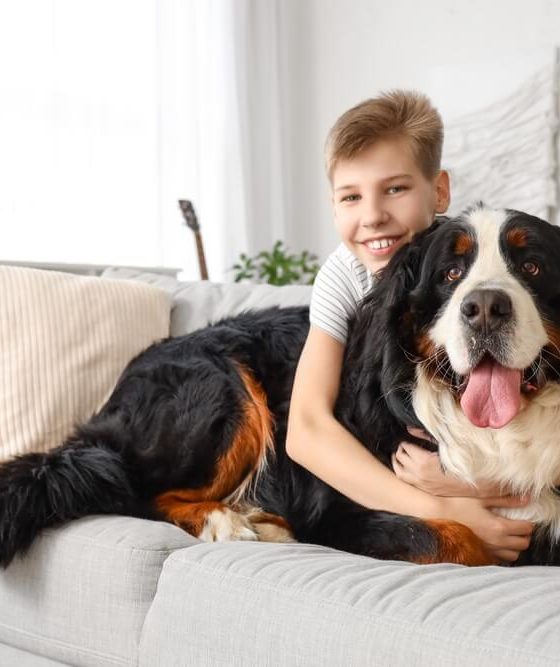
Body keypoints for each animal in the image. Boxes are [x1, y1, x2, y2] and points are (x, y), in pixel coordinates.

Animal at [1, 205, 560, 568]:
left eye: (533, 266)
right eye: (450, 273)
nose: (485, 308)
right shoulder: (340, 512)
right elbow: (457, 538)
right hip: (224, 387)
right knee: (139, 492)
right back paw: (229, 521)